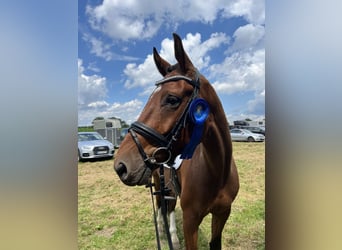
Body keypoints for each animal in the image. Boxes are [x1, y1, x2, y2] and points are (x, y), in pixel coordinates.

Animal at [113, 33, 239, 250]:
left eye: (172, 99)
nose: (121, 166)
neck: (217, 172)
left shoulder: (222, 213)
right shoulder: (190, 220)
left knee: (169, 205)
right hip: (158, 179)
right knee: (162, 205)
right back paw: (165, 233)